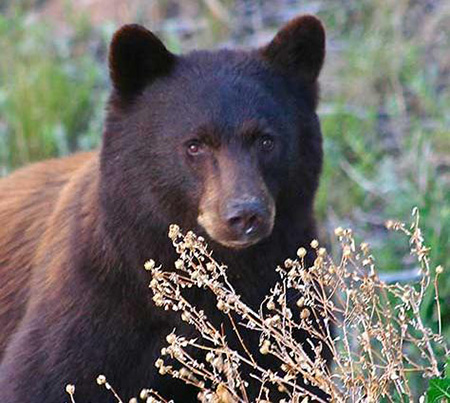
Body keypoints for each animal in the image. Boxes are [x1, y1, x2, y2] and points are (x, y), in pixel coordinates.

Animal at [0, 14, 326, 403]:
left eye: (266, 140)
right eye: (194, 144)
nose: (245, 214)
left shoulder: (290, 298)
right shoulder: (87, 306)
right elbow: (41, 378)